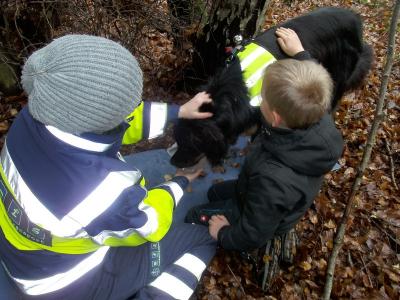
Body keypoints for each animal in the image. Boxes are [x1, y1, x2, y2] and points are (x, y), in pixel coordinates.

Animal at [170, 6, 374, 169]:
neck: (239, 87)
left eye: (190, 145)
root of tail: (356, 18)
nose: (173, 162)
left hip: (340, 73)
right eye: (177, 140)